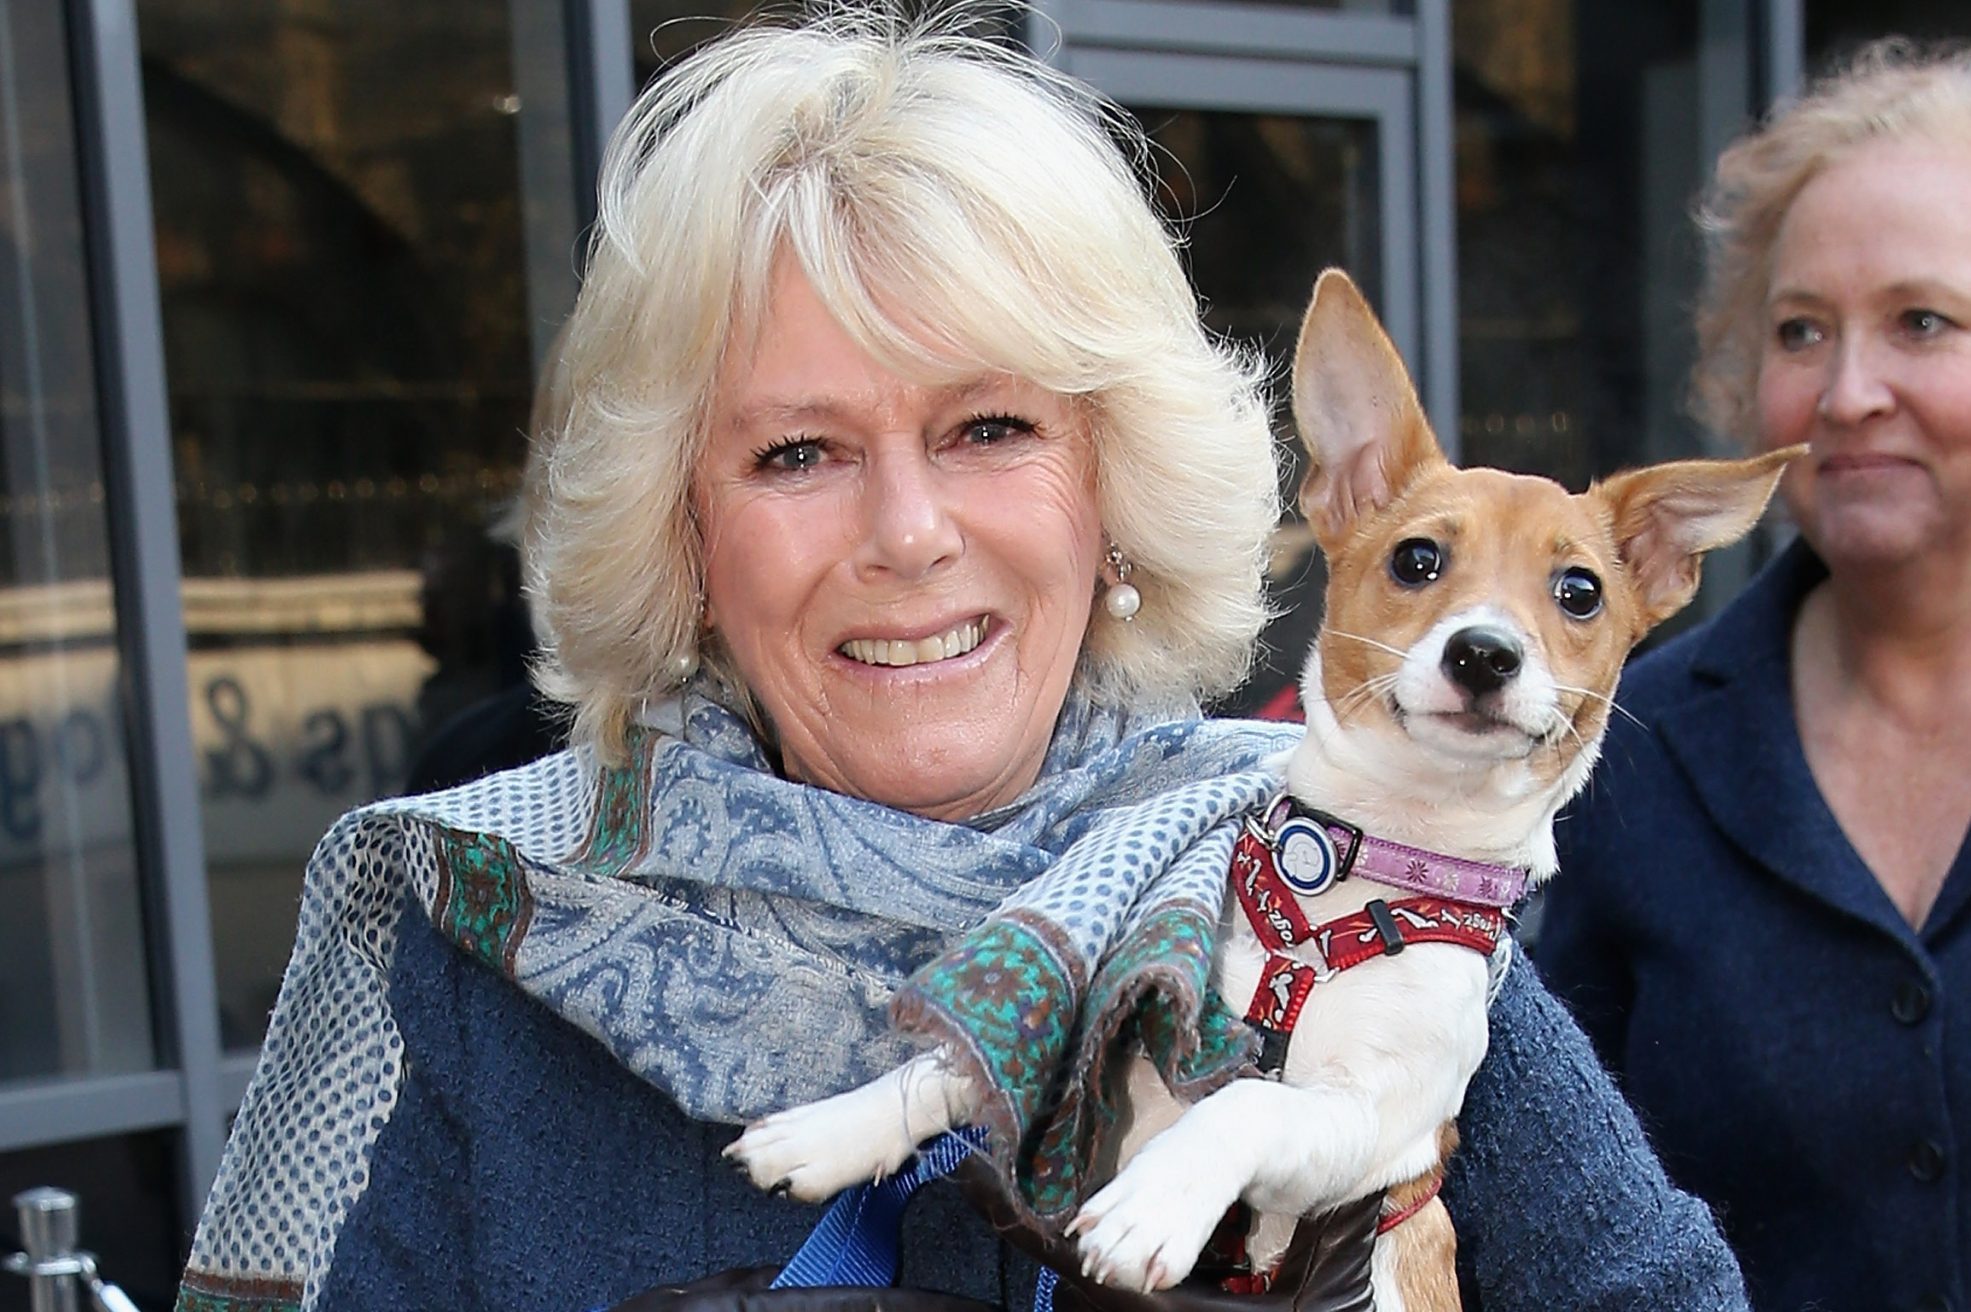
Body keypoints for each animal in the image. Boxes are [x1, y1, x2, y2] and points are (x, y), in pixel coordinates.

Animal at [729, 269, 1805, 1300]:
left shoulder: (1364, 1126)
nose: (1485, 652)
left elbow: (1246, 1100)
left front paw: (1153, 1203)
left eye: (1579, 592)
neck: (1347, 889)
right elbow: (952, 1068)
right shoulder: (1126, 1032)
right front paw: (832, 1128)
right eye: (1419, 558)